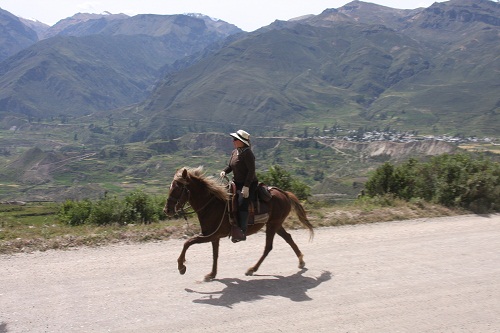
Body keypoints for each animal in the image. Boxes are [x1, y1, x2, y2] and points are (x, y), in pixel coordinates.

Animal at [163, 166, 312, 280]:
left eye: (178, 188)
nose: (167, 210)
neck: (212, 204)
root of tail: (285, 194)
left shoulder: (210, 235)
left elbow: (188, 242)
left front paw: (181, 266)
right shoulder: (214, 236)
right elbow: (215, 254)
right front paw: (212, 274)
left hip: (272, 225)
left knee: (268, 247)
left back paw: (252, 269)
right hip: (276, 224)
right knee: (288, 238)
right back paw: (301, 261)